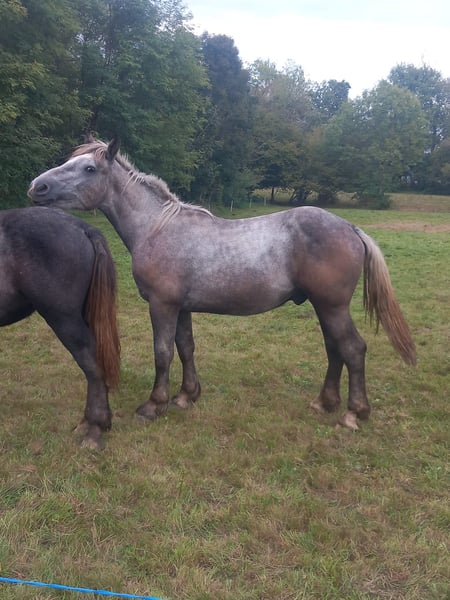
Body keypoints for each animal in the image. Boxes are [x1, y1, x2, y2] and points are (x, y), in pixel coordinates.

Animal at [29, 137, 416, 432]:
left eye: (89, 169)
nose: (37, 187)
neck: (156, 228)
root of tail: (349, 227)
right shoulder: (181, 307)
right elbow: (185, 347)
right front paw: (186, 396)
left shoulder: (162, 305)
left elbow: (163, 352)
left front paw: (154, 405)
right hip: (324, 307)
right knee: (335, 349)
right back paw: (325, 402)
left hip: (332, 306)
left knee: (352, 349)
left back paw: (353, 413)